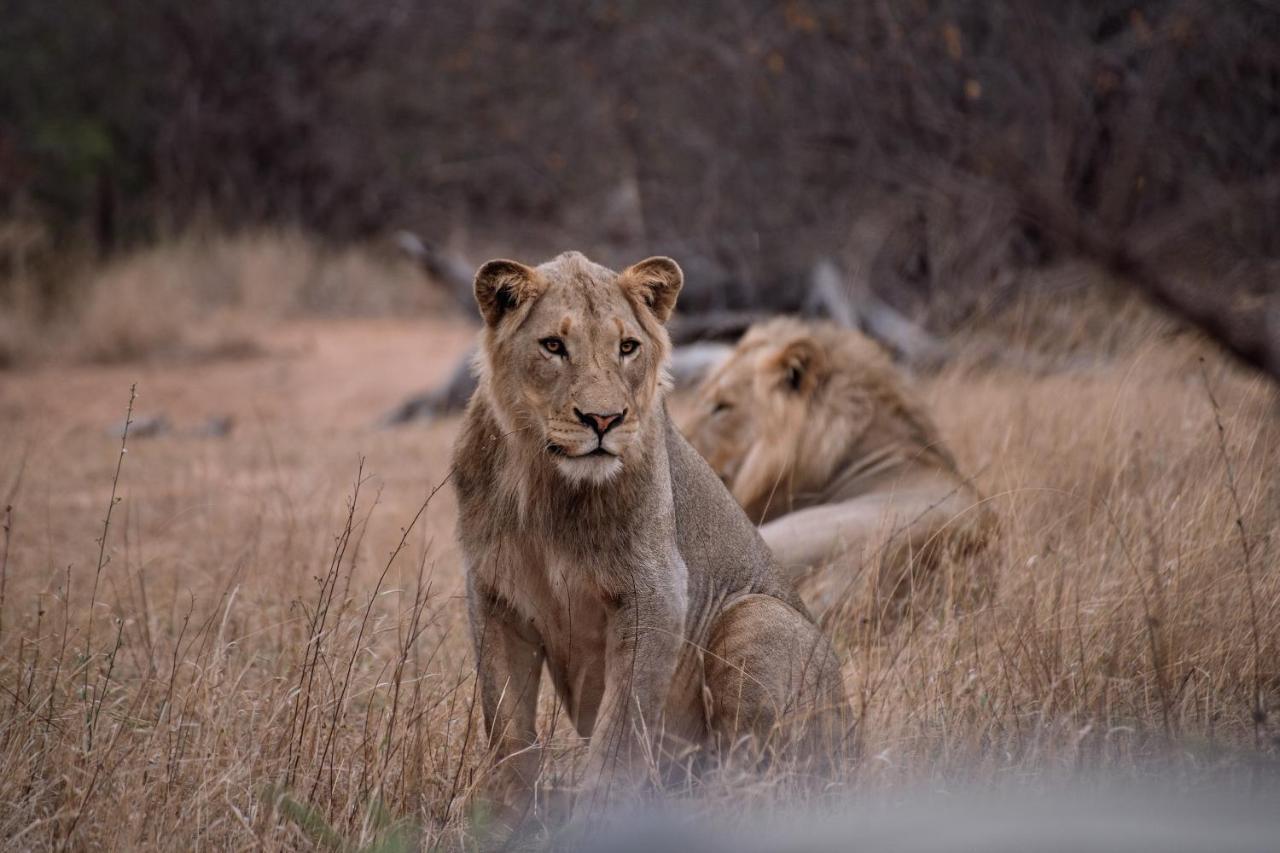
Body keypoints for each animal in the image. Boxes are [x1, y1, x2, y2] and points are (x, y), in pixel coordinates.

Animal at [450, 251, 849, 824]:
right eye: (553, 346)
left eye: (627, 347)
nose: (603, 419)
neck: (547, 484)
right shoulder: (493, 597)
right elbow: (505, 726)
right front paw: (506, 821)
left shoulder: (656, 591)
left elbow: (620, 729)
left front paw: (594, 822)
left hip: (756, 616)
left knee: (762, 781)